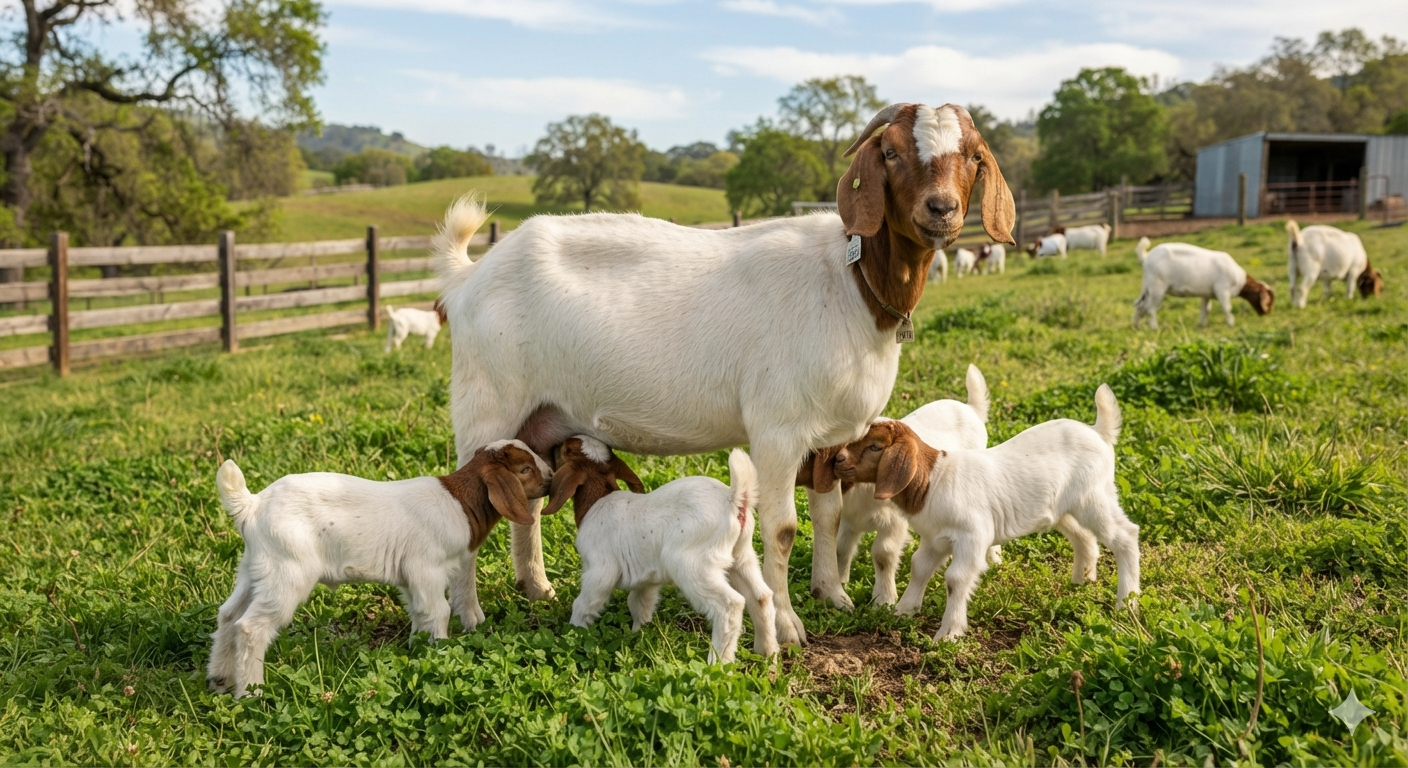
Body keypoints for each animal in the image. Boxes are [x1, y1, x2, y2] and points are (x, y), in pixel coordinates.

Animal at [207, 441, 552, 698]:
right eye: (524, 469)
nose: (551, 476)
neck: (460, 502)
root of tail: (251, 506)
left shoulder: (410, 578)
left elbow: (420, 613)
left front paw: (419, 653)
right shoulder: (426, 567)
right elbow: (439, 611)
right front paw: (441, 656)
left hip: (254, 568)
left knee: (228, 615)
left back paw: (220, 678)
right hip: (286, 572)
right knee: (251, 627)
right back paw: (252, 692)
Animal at [547, 436, 779, 663]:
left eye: (567, 450)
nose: (555, 446)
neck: (597, 500)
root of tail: (733, 499)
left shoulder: (600, 570)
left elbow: (584, 604)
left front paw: (573, 634)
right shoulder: (645, 578)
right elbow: (639, 603)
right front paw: (638, 635)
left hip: (692, 565)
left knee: (730, 605)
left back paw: (718, 663)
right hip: (742, 556)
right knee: (761, 596)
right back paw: (768, 653)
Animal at [797, 364, 998, 607]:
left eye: (875, 447)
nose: (840, 461)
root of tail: (971, 409)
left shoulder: (894, 520)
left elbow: (883, 553)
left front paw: (884, 599)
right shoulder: (849, 519)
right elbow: (841, 547)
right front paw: (842, 581)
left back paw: (994, 559)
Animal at [833, 385, 1139, 641]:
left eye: (875, 446)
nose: (837, 459)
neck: (934, 479)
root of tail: (1098, 431)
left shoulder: (972, 536)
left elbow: (955, 579)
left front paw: (949, 634)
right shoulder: (935, 538)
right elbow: (919, 567)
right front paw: (903, 611)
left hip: (1095, 496)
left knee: (1125, 536)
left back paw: (1127, 602)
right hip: (1064, 508)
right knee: (1084, 537)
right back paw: (1081, 581)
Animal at [1132, 237, 1274, 329]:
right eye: (1268, 301)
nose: (1267, 313)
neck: (1240, 280)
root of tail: (1146, 257)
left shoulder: (1207, 294)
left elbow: (1206, 309)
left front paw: (1202, 325)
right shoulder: (1222, 289)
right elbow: (1227, 308)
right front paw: (1231, 324)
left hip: (1148, 288)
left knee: (1141, 305)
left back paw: (1137, 326)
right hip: (1157, 287)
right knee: (1151, 308)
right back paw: (1154, 327)